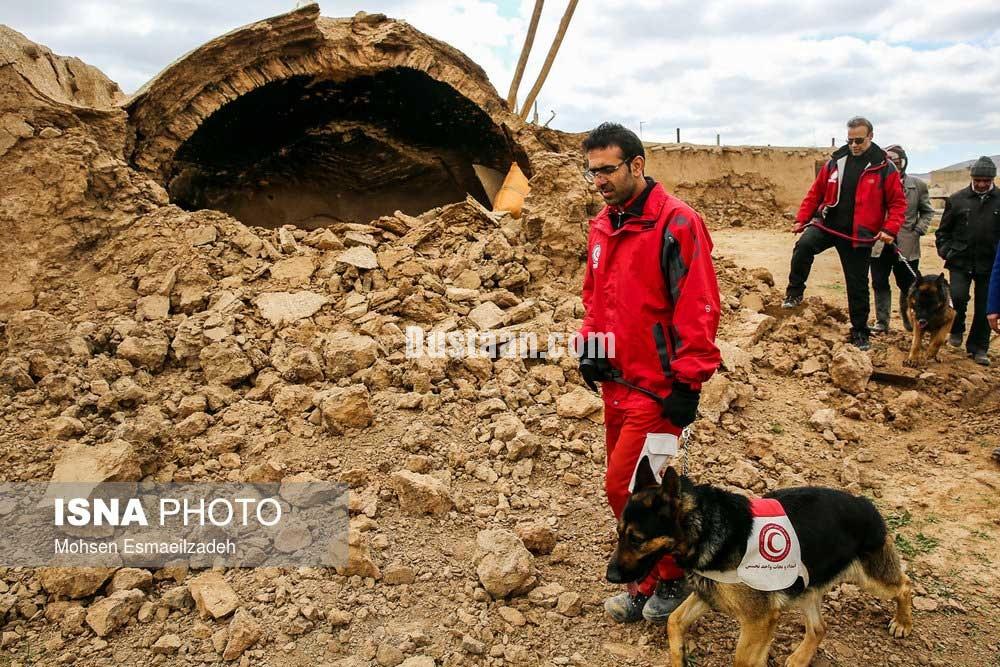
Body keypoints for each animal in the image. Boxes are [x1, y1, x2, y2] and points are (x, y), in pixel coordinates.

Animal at [604, 470, 912, 667]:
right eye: (619, 533)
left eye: (636, 539)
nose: (610, 576)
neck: (707, 527)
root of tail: (864, 502)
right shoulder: (708, 594)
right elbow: (674, 621)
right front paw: (678, 657)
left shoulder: (758, 619)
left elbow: (742, 659)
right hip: (806, 587)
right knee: (819, 628)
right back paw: (800, 658)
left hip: (871, 578)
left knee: (905, 584)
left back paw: (903, 623)